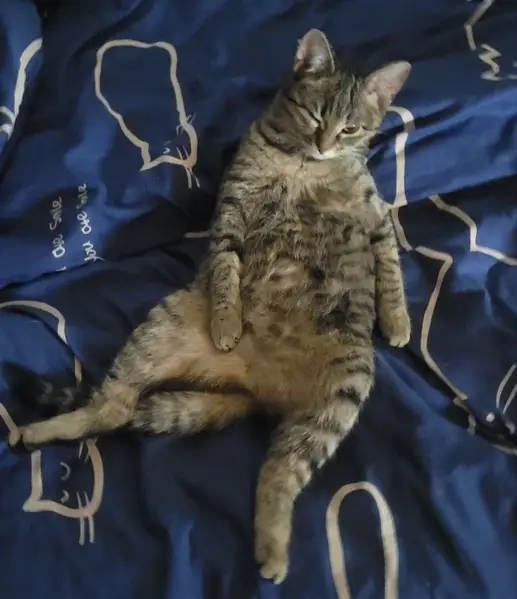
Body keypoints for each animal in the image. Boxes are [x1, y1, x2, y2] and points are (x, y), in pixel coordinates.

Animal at [8, 29, 411, 584]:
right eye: (314, 117)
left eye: (350, 129)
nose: (325, 143)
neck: (304, 164)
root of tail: (255, 388)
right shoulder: (231, 214)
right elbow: (224, 271)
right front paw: (226, 321)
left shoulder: (375, 215)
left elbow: (390, 268)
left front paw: (398, 321)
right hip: (162, 328)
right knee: (113, 409)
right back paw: (41, 429)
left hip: (342, 393)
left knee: (278, 473)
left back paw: (273, 550)